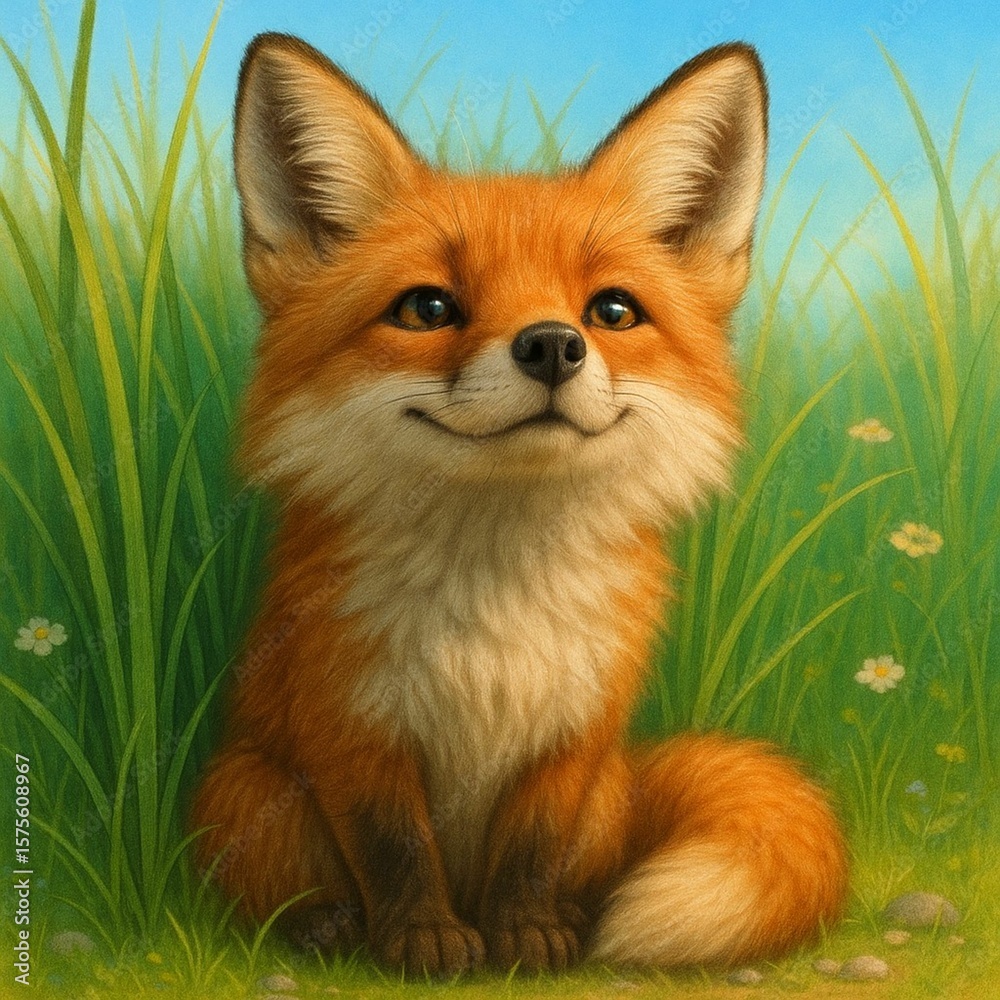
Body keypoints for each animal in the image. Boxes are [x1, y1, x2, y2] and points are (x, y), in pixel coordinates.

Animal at [190, 33, 848, 975]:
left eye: (612, 310)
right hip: (244, 788)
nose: (551, 346)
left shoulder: (573, 738)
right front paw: (423, 938)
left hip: (608, 793)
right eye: (427, 307)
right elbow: (394, 849)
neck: (494, 605)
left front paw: (528, 931)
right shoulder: (349, 725)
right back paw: (323, 925)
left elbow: (532, 849)